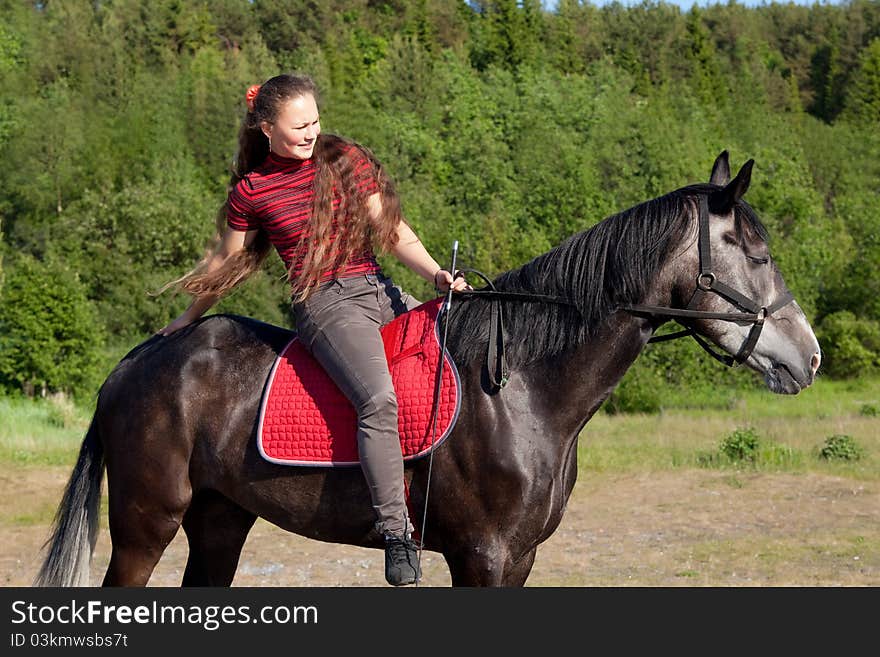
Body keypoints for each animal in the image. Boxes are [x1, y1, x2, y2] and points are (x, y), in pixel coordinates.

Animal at [34, 154, 820, 584]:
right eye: (755, 253)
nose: (809, 355)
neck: (522, 392)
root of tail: (139, 359)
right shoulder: (481, 556)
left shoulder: (519, 559)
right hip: (146, 522)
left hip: (220, 519)